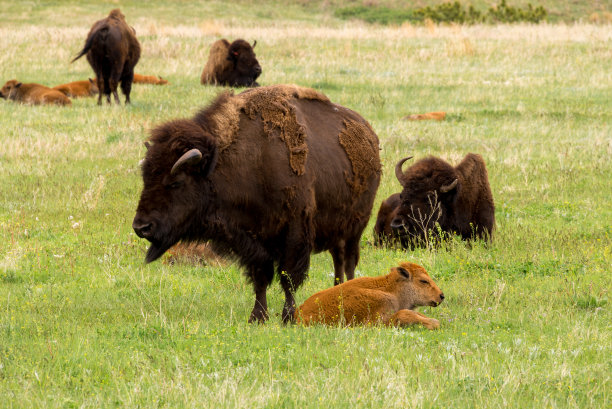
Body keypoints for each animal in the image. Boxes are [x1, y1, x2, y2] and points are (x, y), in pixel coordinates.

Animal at [134, 84, 380, 324]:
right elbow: (260, 277)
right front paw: (257, 317)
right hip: (337, 232)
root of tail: (369, 135)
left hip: (355, 228)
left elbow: (288, 277)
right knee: (339, 261)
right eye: (145, 177)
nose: (141, 227)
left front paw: (288, 317)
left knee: (347, 262)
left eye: (176, 182)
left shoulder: (295, 232)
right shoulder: (252, 240)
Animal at [294, 262, 442, 328]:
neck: (392, 290)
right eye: (423, 281)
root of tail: (298, 312)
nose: (441, 296)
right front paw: (433, 323)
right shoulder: (376, 321)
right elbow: (404, 314)